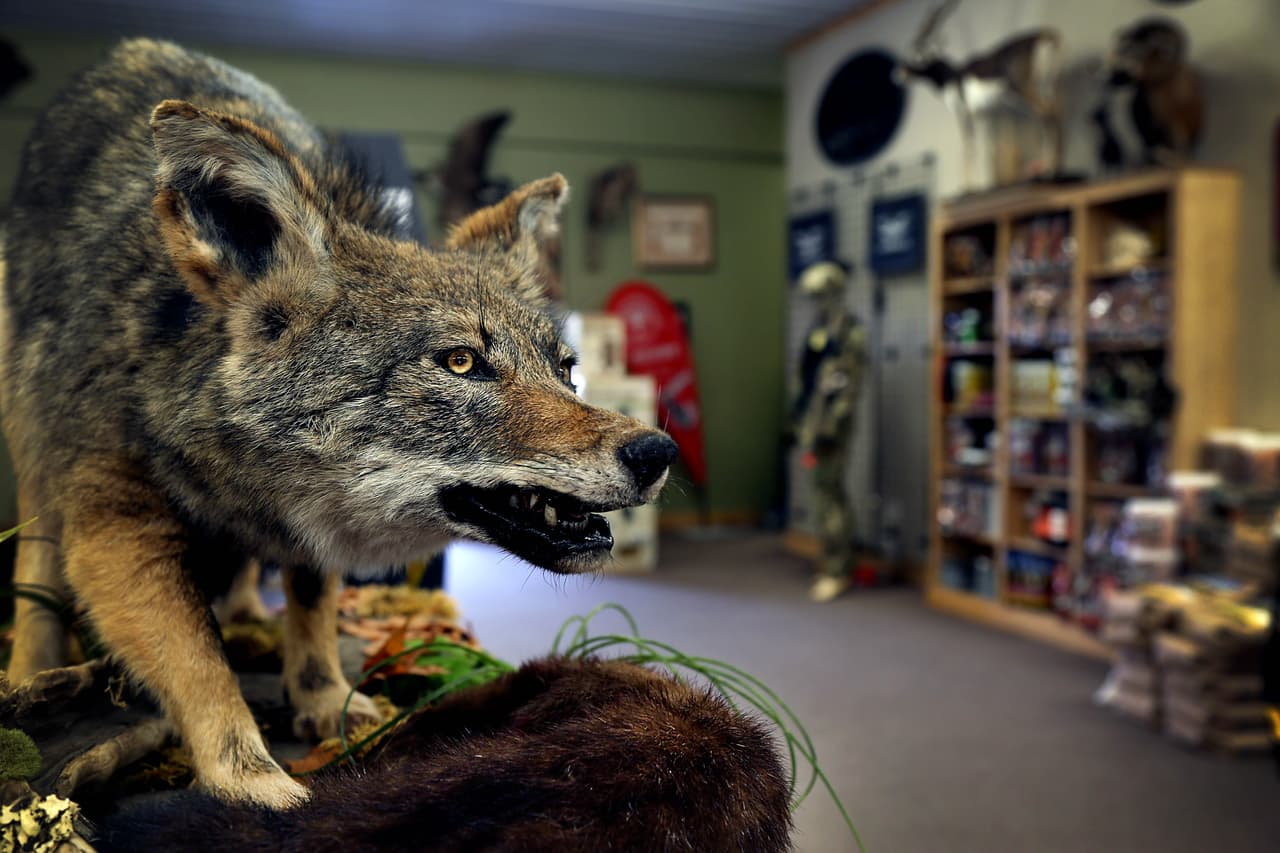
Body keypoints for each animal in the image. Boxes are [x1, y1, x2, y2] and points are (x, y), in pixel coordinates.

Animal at [1, 38, 676, 808]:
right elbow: (196, 655)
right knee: (38, 560)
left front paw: (322, 695)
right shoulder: (116, 521)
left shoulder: (309, 527)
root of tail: (133, 49)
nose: (658, 450)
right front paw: (253, 781)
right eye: (461, 361)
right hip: (30, 427)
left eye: (565, 369)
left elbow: (313, 590)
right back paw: (31, 676)